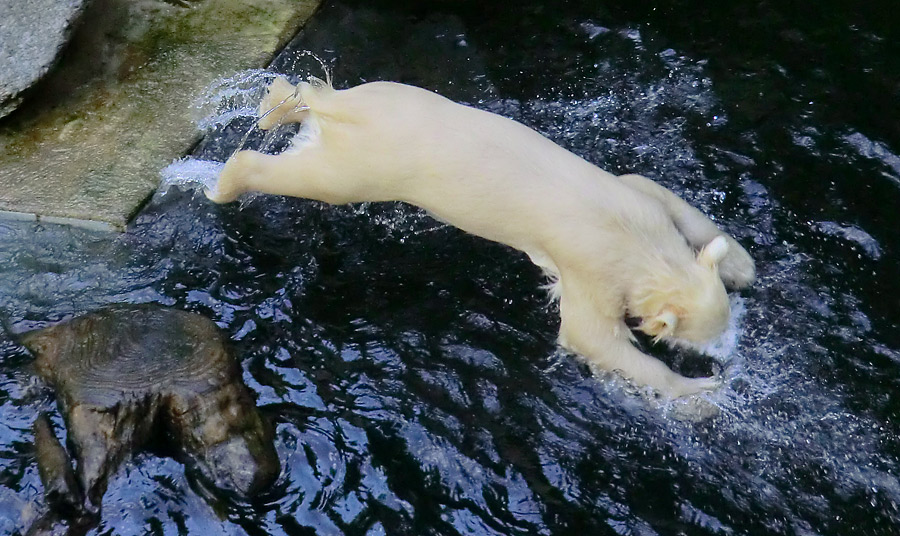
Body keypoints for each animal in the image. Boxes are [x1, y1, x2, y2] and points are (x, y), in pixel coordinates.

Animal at [207, 78, 756, 398]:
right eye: (707, 342)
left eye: (729, 321)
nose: (729, 358)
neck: (637, 247)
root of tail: (349, 115)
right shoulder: (591, 271)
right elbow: (590, 336)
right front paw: (704, 396)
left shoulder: (639, 204)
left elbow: (658, 191)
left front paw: (741, 264)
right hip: (368, 166)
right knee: (315, 178)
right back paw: (222, 183)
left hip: (389, 94)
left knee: (308, 102)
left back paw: (275, 103)